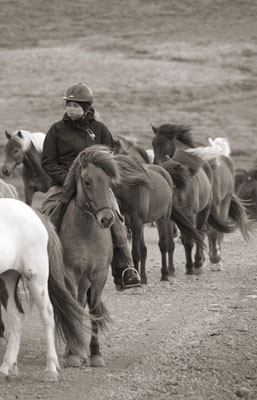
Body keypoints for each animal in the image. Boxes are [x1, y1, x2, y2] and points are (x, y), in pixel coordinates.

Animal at [0, 200, 86, 382]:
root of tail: (35, 214)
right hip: (7, 278)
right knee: (16, 317)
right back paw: (6, 367)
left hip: (36, 277)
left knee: (47, 314)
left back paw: (51, 369)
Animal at [151, 122, 251, 272]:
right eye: (153, 143)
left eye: (165, 143)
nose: (156, 165)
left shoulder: (209, 207)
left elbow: (211, 233)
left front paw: (212, 259)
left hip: (222, 203)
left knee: (215, 232)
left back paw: (214, 258)